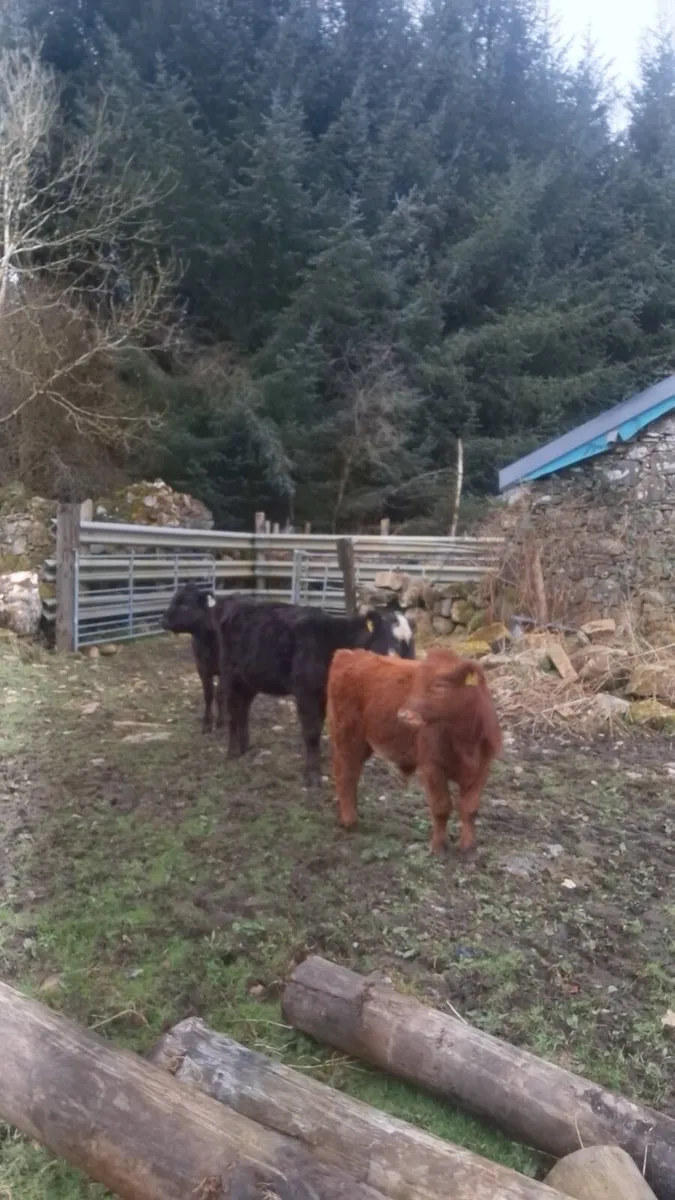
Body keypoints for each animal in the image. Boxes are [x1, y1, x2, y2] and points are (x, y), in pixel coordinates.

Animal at [161, 585, 415, 783]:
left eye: (408, 644)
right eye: (385, 637)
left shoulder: (323, 695)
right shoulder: (305, 692)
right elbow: (311, 732)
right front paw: (312, 775)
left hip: (249, 680)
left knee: (243, 710)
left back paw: (245, 745)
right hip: (230, 675)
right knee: (232, 710)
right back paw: (233, 751)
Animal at [327, 646, 502, 855]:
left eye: (440, 685)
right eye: (417, 683)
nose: (404, 714)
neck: (464, 741)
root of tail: (349, 653)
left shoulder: (482, 768)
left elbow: (470, 809)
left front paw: (468, 847)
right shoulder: (431, 767)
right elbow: (441, 807)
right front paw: (438, 846)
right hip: (348, 737)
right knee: (346, 773)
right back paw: (350, 820)